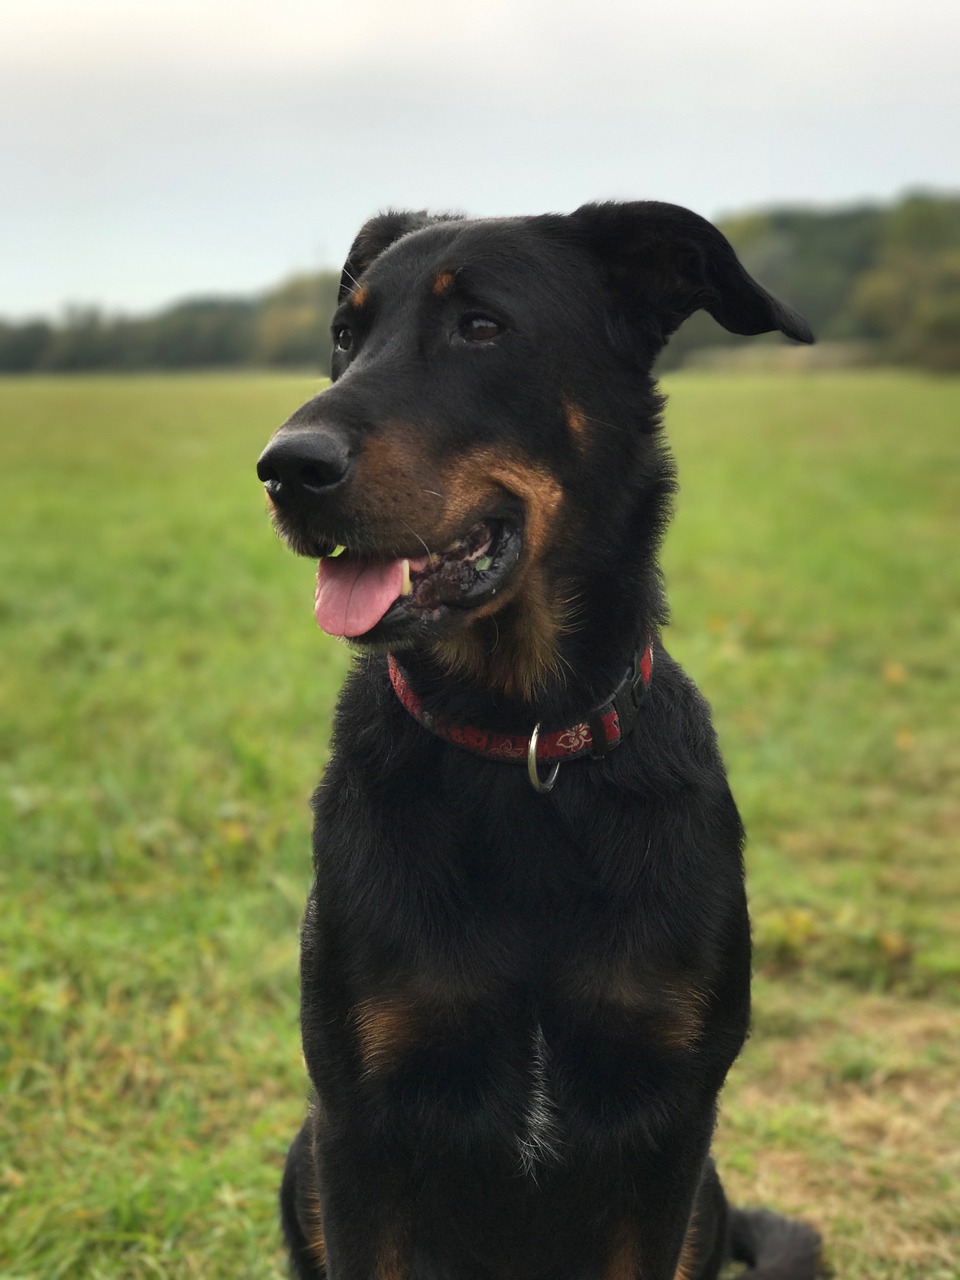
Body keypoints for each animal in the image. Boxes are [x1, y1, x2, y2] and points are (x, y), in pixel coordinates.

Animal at [259, 202, 824, 1280]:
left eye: (482, 327)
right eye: (349, 334)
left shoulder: (669, 1130)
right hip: (300, 1159)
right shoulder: (356, 1128)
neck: (517, 741)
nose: (285, 469)